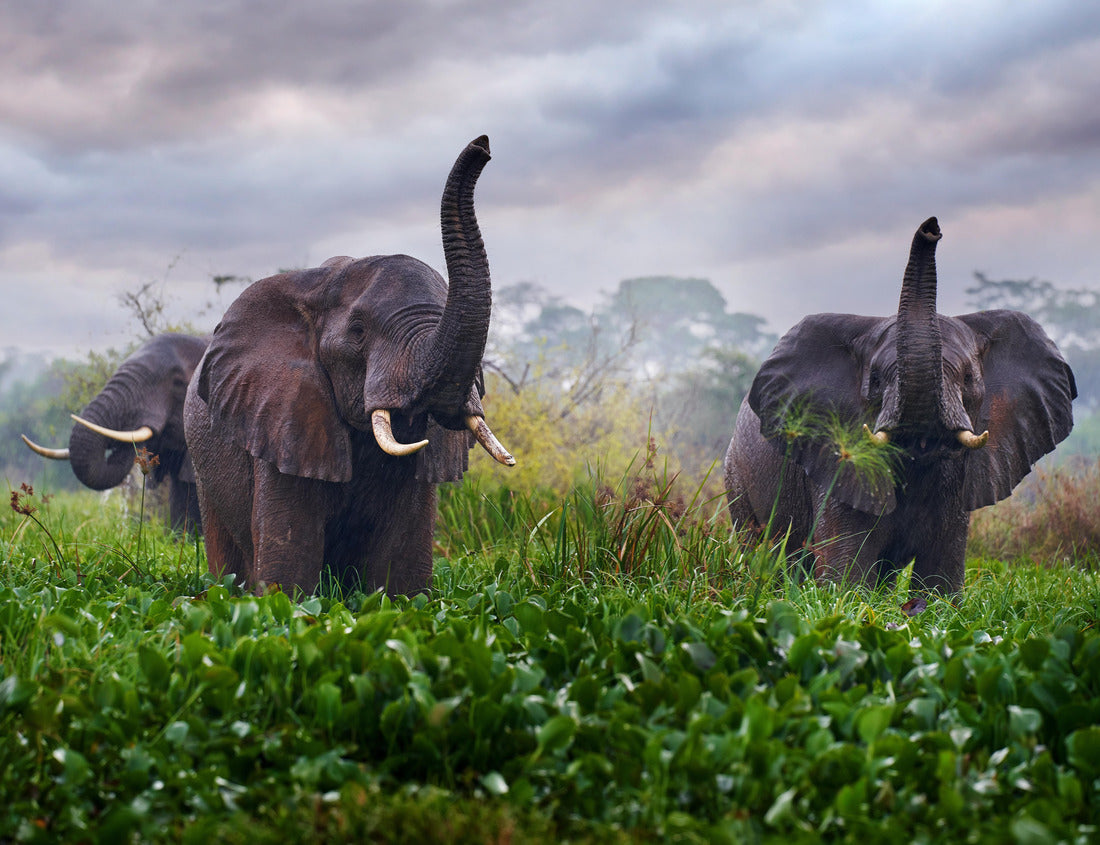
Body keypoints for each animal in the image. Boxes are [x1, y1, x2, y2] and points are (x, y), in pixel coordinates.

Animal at [724, 217, 1076, 595]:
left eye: (968, 378)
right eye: (877, 379)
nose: (932, 228)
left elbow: (940, 578)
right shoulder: (838, 461)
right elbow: (846, 574)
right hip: (736, 479)